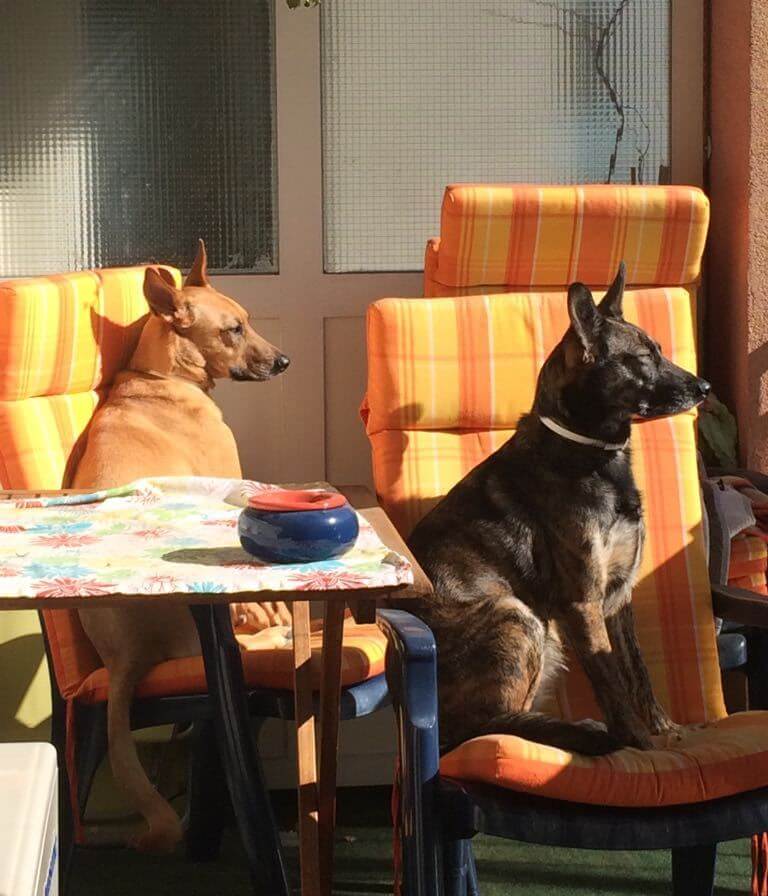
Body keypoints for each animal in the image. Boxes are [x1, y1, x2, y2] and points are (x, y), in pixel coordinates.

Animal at [406, 263, 710, 754]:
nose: (705, 388)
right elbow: (612, 683)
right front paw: (639, 744)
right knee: (486, 725)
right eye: (643, 358)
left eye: (661, 351)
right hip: (516, 615)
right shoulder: (582, 602)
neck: (590, 452)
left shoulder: (618, 599)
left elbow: (638, 673)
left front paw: (665, 730)